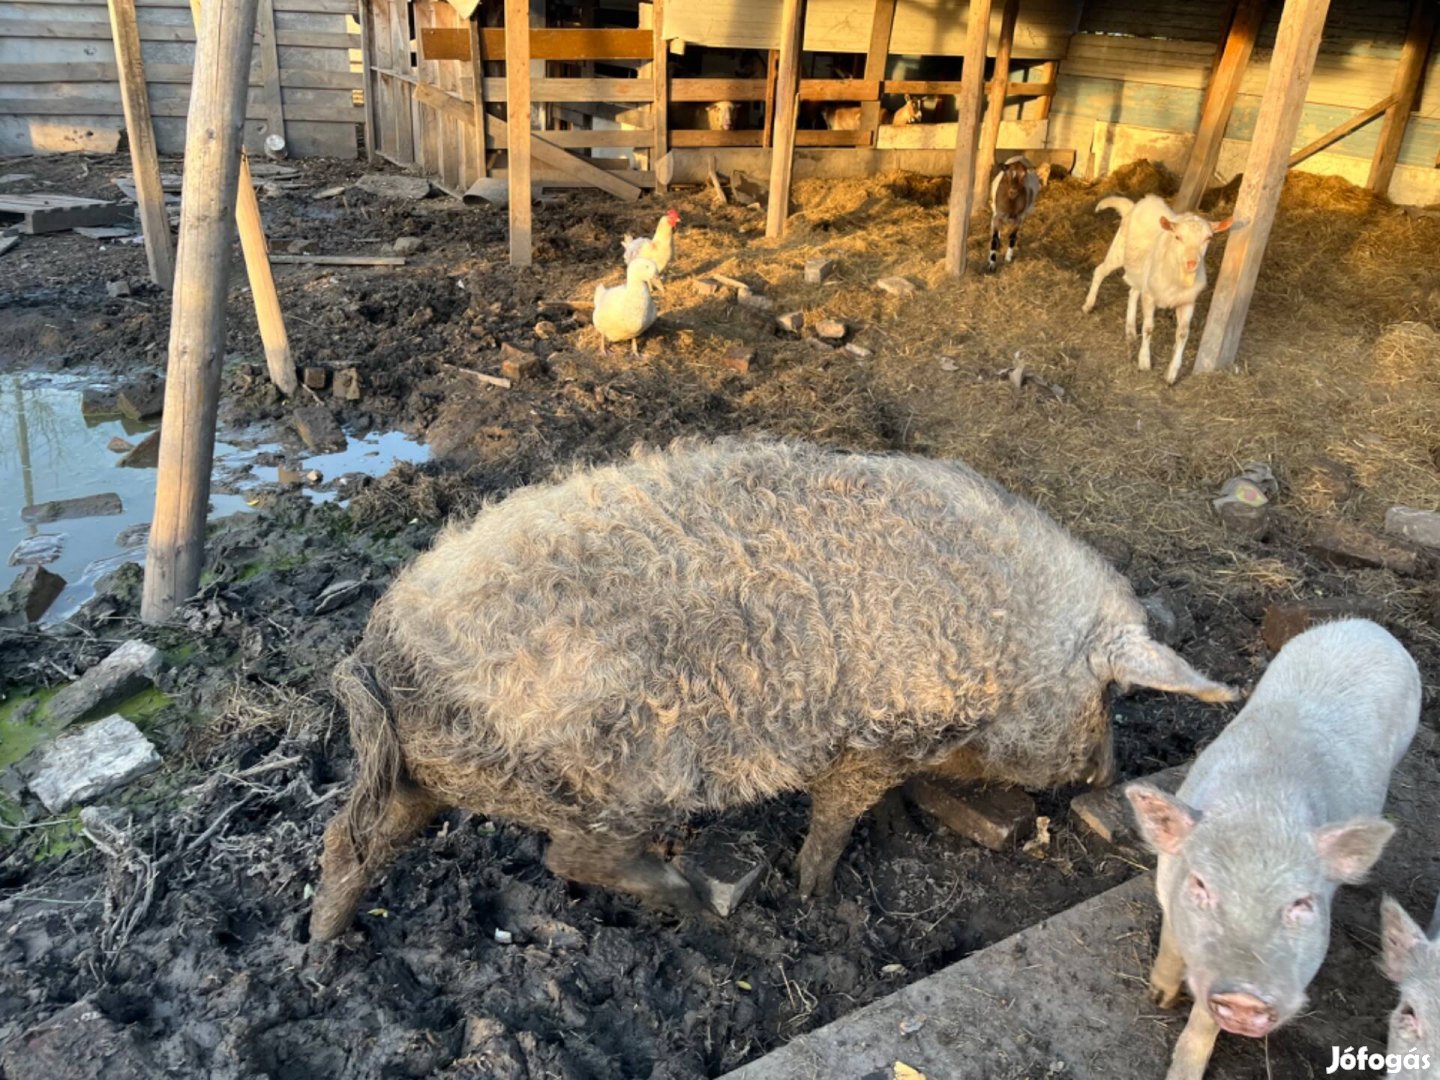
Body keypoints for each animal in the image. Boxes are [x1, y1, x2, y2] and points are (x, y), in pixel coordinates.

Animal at [309, 437, 1232, 938]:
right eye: (1112, 695)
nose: (1109, 774)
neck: (1006, 642)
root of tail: (378, 653)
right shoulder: (878, 733)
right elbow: (836, 814)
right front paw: (814, 892)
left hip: (420, 780)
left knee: (347, 842)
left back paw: (323, 954)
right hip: (602, 786)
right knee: (569, 857)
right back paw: (696, 902)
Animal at [1082, 197, 1232, 385]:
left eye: (1208, 238)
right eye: (1178, 237)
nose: (1192, 263)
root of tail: (1135, 205)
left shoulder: (1187, 302)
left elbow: (1183, 334)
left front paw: (1171, 374)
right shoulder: (1149, 296)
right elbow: (1148, 328)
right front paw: (1144, 362)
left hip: (1140, 271)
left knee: (1133, 292)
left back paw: (1130, 331)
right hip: (1118, 250)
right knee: (1100, 271)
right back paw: (1088, 305)